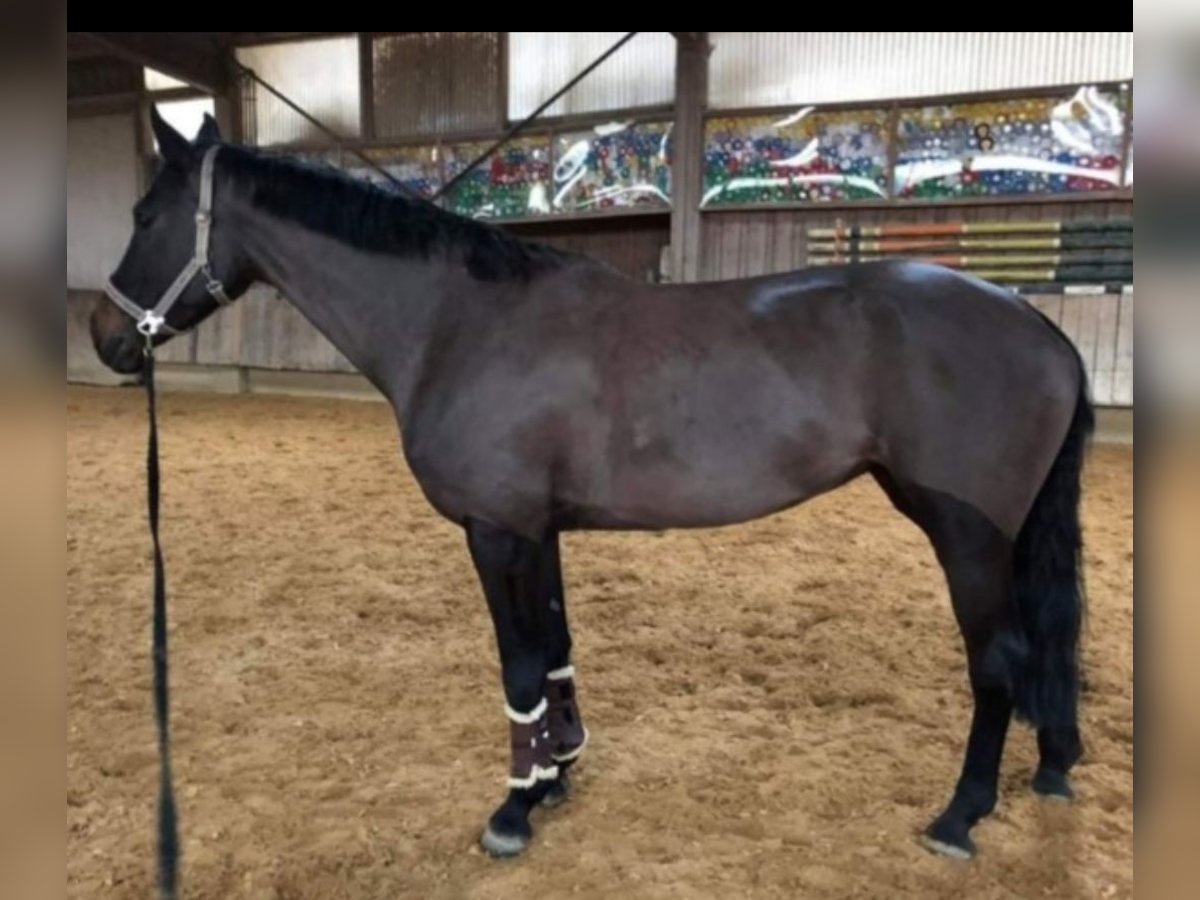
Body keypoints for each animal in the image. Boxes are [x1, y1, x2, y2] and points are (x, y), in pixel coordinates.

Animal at [93, 109, 1089, 864]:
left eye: (145, 214)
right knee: (1045, 643)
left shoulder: (495, 530)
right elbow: (557, 652)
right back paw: (1051, 768)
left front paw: (512, 809)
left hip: (966, 534)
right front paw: (557, 772)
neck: (459, 322)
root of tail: (1033, 320)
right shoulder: (540, 532)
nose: (106, 337)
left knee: (999, 660)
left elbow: (519, 662)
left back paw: (960, 816)